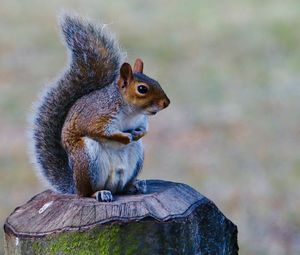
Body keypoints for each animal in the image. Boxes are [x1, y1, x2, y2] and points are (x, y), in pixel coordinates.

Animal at [29, 13, 170, 201]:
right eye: (142, 89)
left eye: (157, 81)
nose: (166, 102)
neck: (130, 112)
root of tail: (74, 185)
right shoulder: (97, 116)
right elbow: (98, 131)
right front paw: (124, 137)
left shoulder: (141, 120)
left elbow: (144, 130)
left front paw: (138, 134)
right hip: (87, 159)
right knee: (87, 193)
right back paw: (99, 192)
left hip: (136, 155)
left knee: (122, 188)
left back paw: (134, 186)